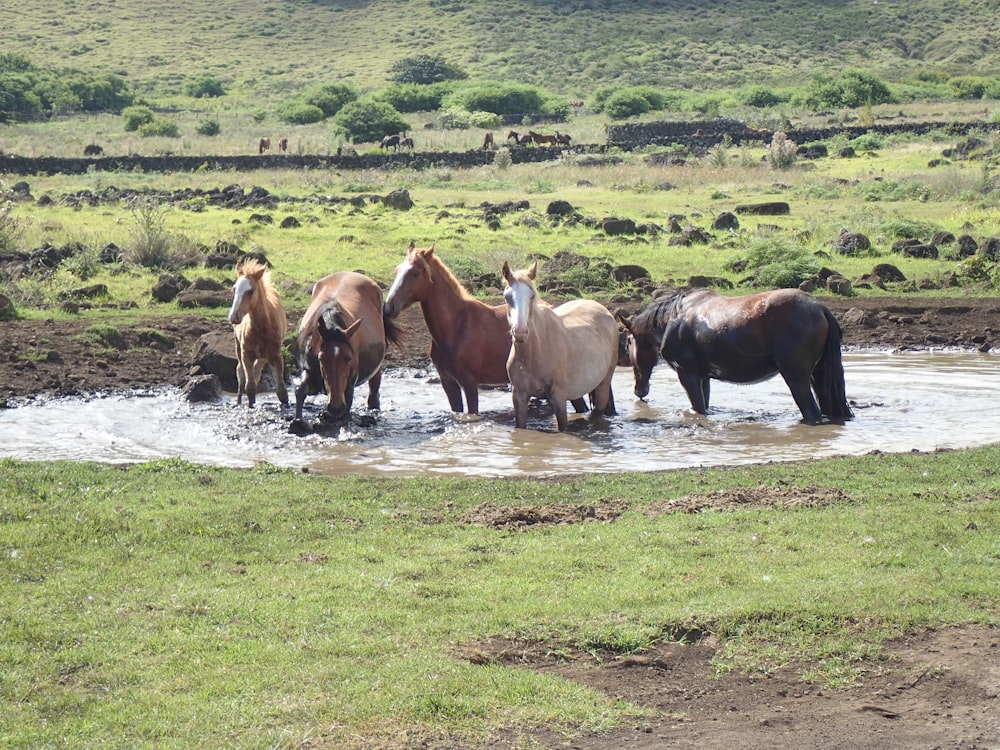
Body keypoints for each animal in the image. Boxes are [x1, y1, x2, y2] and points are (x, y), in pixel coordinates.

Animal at [228, 258, 290, 412]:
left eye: (250, 291)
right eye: (234, 289)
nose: (233, 317)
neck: (263, 327)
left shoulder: (276, 355)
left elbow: (282, 391)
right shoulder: (247, 354)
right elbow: (249, 387)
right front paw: (250, 405)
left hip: (263, 356)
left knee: (257, 371)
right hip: (239, 347)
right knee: (240, 372)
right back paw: (238, 401)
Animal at [292, 272, 400, 426]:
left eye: (349, 358)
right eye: (321, 358)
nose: (336, 407)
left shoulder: (349, 386)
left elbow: (346, 410)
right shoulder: (307, 369)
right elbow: (299, 391)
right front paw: (298, 421)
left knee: (373, 392)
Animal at [380, 244, 584, 418]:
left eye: (415, 273)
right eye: (397, 271)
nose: (389, 307)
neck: (456, 327)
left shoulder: (469, 383)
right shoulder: (448, 383)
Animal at [500, 262, 616, 432]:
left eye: (531, 296)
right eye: (507, 297)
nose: (520, 332)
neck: (535, 352)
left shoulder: (558, 398)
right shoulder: (519, 397)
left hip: (603, 384)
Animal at [616, 288, 852, 426]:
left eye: (628, 342)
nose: (639, 390)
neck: (673, 319)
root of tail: (819, 307)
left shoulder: (688, 375)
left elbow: (698, 408)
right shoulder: (703, 377)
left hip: (796, 377)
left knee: (811, 412)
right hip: (817, 376)